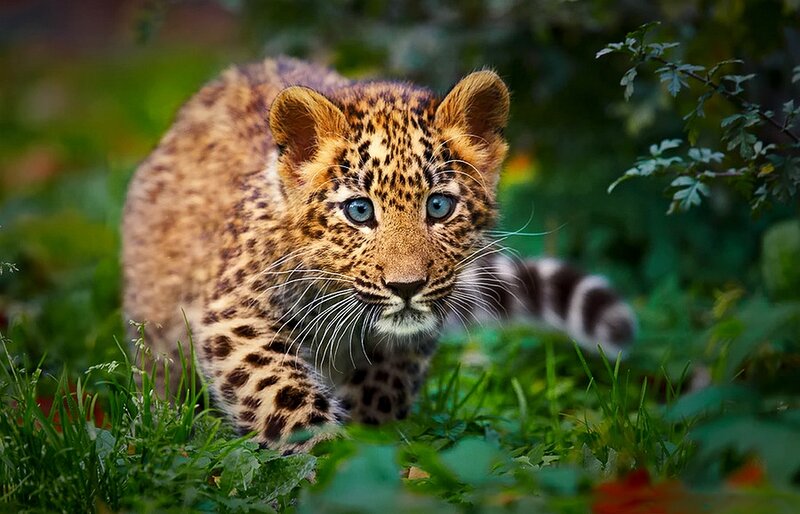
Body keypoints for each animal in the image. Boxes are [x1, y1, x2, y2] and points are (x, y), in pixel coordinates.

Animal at [122, 57, 636, 453]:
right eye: (359, 210)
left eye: (439, 206)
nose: (406, 287)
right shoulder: (235, 314)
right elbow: (279, 392)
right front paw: (325, 457)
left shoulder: (410, 336)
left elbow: (385, 385)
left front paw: (371, 448)